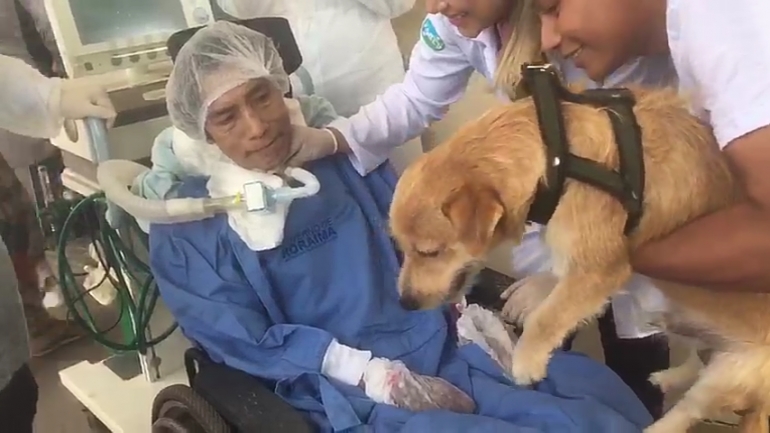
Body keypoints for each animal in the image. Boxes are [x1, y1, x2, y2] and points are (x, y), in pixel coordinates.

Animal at [388, 86, 768, 430]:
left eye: (429, 251)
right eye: (400, 245)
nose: (405, 303)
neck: (559, 154)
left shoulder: (600, 268)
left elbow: (548, 316)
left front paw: (527, 359)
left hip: (726, 375)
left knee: (684, 413)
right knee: (695, 362)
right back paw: (666, 375)